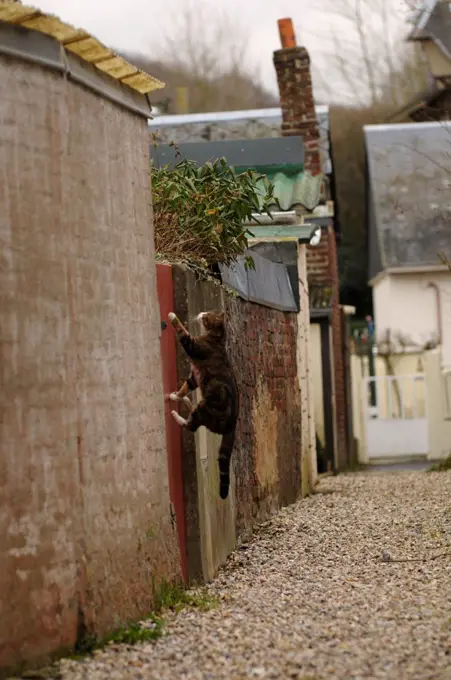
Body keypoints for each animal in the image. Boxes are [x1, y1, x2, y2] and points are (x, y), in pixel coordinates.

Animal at [168, 310, 240, 496]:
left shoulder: (193, 346)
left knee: (191, 425)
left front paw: (172, 316)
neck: (216, 338)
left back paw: (176, 415)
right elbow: (185, 387)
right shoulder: (194, 377)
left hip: (206, 408)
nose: (201, 313)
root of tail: (232, 424)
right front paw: (176, 396)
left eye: (208, 316)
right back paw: (185, 401)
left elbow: (182, 331)